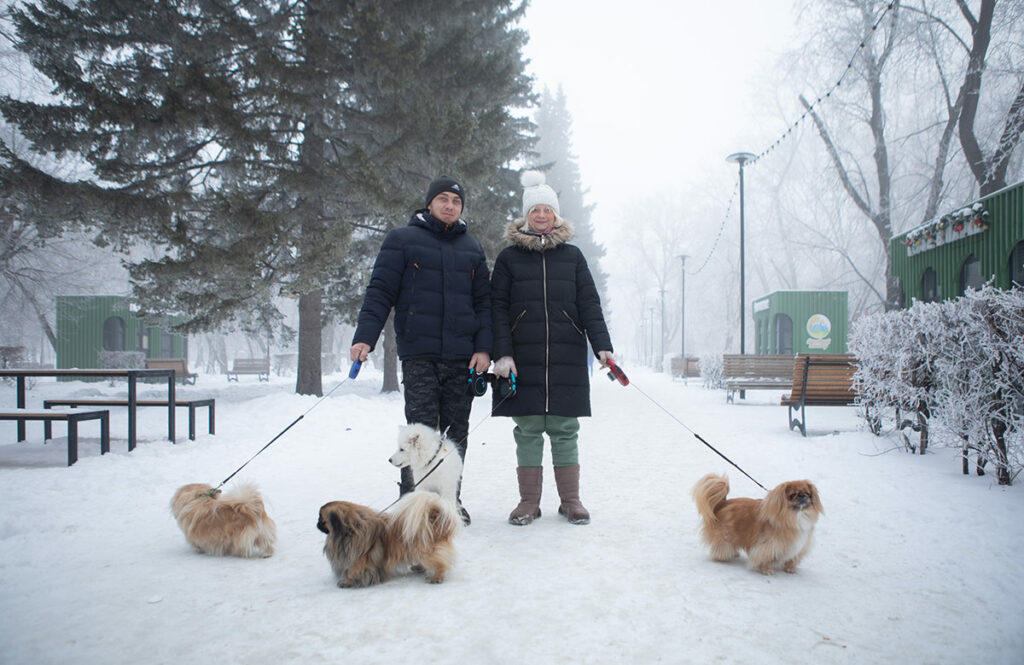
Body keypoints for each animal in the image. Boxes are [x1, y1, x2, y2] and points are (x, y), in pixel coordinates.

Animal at [315, 487, 460, 586]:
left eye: (321, 519)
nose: (316, 524)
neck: (349, 530)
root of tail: (434, 521)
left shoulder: (359, 560)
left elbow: (353, 570)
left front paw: (347, 582)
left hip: (425, 553)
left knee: (440, 564)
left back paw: (437, 577)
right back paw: (419, 567)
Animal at [688, 469, 823, 573]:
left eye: (807, 493)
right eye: (792, 495)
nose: (802, 496)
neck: (796, 516)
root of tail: (723, 503)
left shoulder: (800, 545)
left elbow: (792, 559)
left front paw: (790, 568)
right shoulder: (768, 545)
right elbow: (765, 558)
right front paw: (766, 570)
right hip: (725, 536)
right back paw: (724, 556)